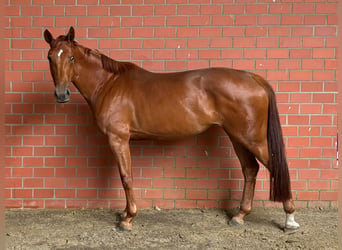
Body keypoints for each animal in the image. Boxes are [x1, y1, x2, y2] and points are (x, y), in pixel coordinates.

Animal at [44, 26, 300, 231]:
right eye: (49, 58)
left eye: (71, 58)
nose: (61, 95)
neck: (109, 84)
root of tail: (253, 77)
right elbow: (125, 176)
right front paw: (125, 213)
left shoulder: (118, 139)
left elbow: (126, 177)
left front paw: (128, 219)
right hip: (237, 137)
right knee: (250, 170)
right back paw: (239, 216)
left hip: (252, 138)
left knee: (275, 167)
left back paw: (290, 219)